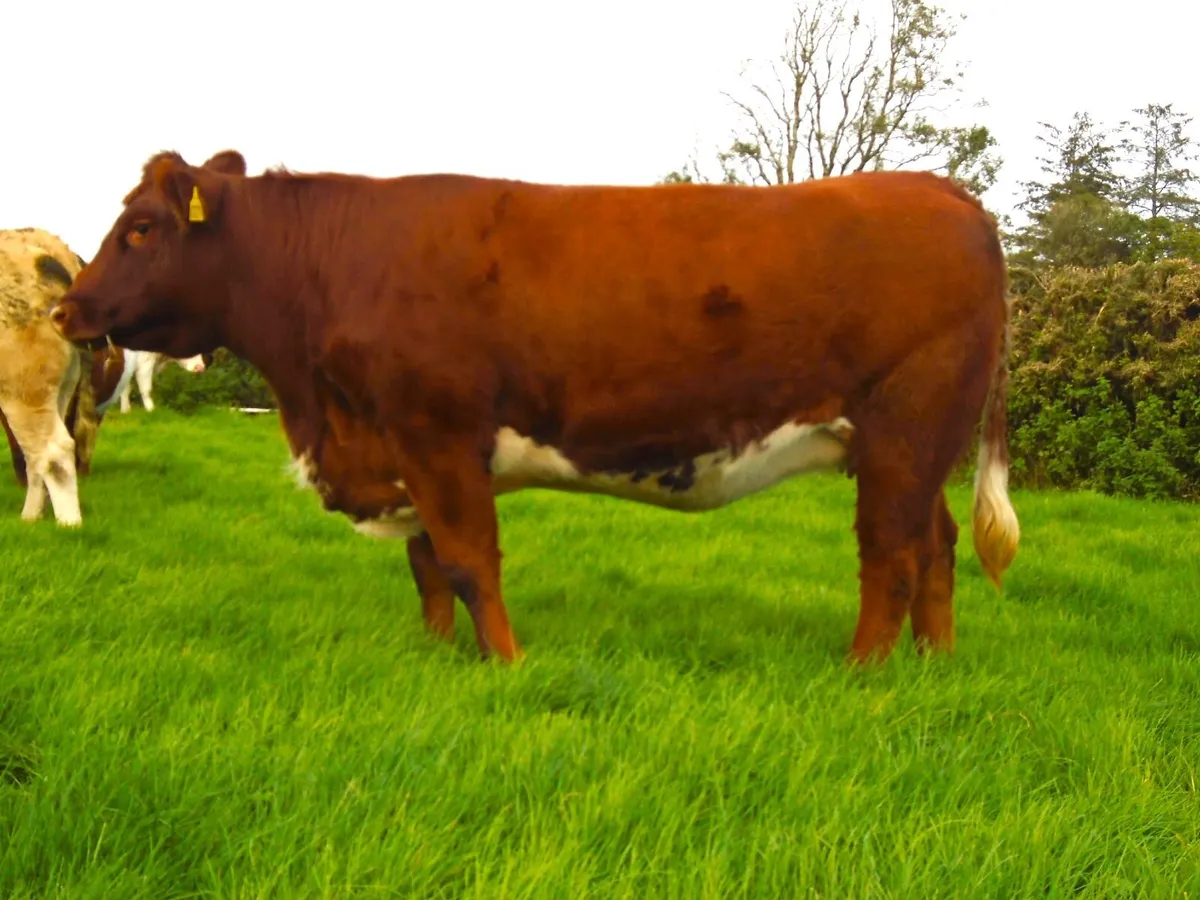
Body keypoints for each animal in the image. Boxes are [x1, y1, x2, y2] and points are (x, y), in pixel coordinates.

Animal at [0, 227, 92, 525]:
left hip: (26, 386)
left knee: (54, 452)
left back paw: (70, 525)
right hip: (62, 386)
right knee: (37, 456)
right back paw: (31, 517)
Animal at [50, 149, 1021, 665]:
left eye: (141, 227)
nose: (67, 308)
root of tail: (941, 190)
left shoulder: (438, 435)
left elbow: (469, 560)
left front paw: (504, 664)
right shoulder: (404, 451)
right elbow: (427, 566)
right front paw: (438, 654)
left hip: (904, 427)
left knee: (890, 557)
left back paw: (863, 672)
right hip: (912, 445)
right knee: (933, 546)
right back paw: (934, 662)